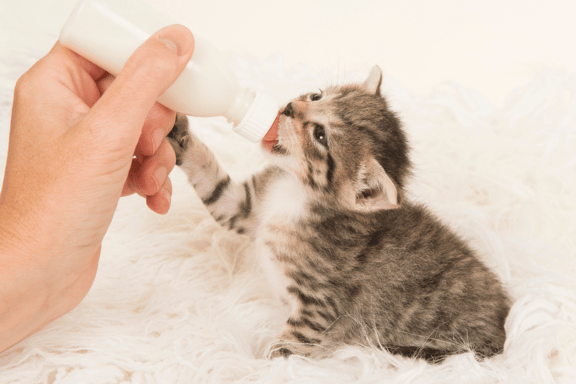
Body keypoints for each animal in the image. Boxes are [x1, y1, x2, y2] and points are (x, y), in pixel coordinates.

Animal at [169, 66, 510, 364]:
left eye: (320, 135)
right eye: (317, 96)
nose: (290, 106)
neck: (296, 192)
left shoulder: (319, 305)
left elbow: (291, 345)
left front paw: (260, 367)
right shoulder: (245, 207)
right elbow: (213, 182)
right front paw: (180, 135)